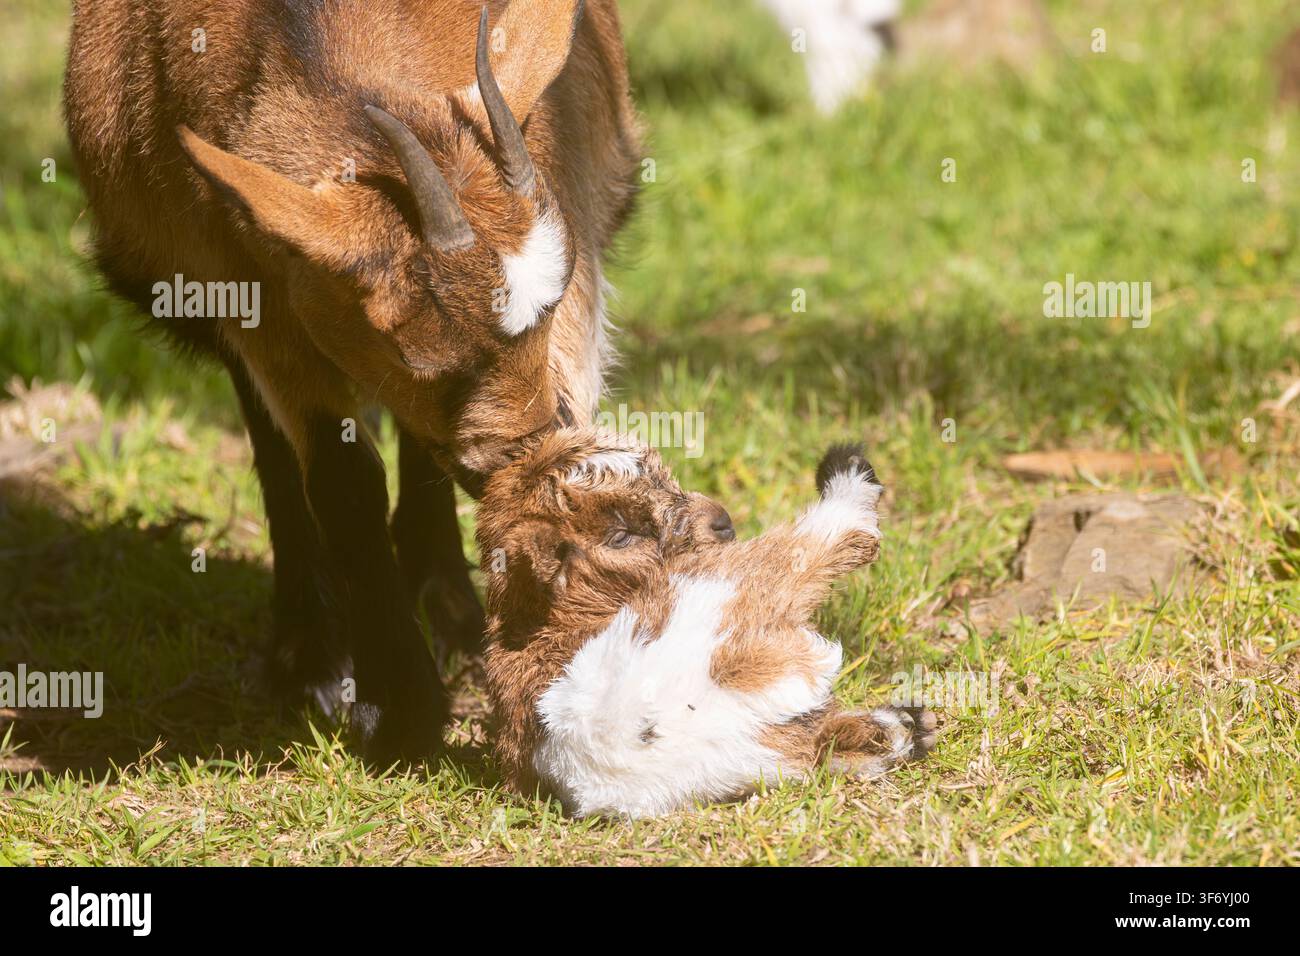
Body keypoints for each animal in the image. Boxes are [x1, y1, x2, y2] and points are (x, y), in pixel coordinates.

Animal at [63, 0, 642, 764]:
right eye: (419, 357)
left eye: (545, 315)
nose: (527, 455)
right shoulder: (253, 289)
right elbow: (342, 479)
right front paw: (397, 710)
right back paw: (311, 647)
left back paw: (448, 616)